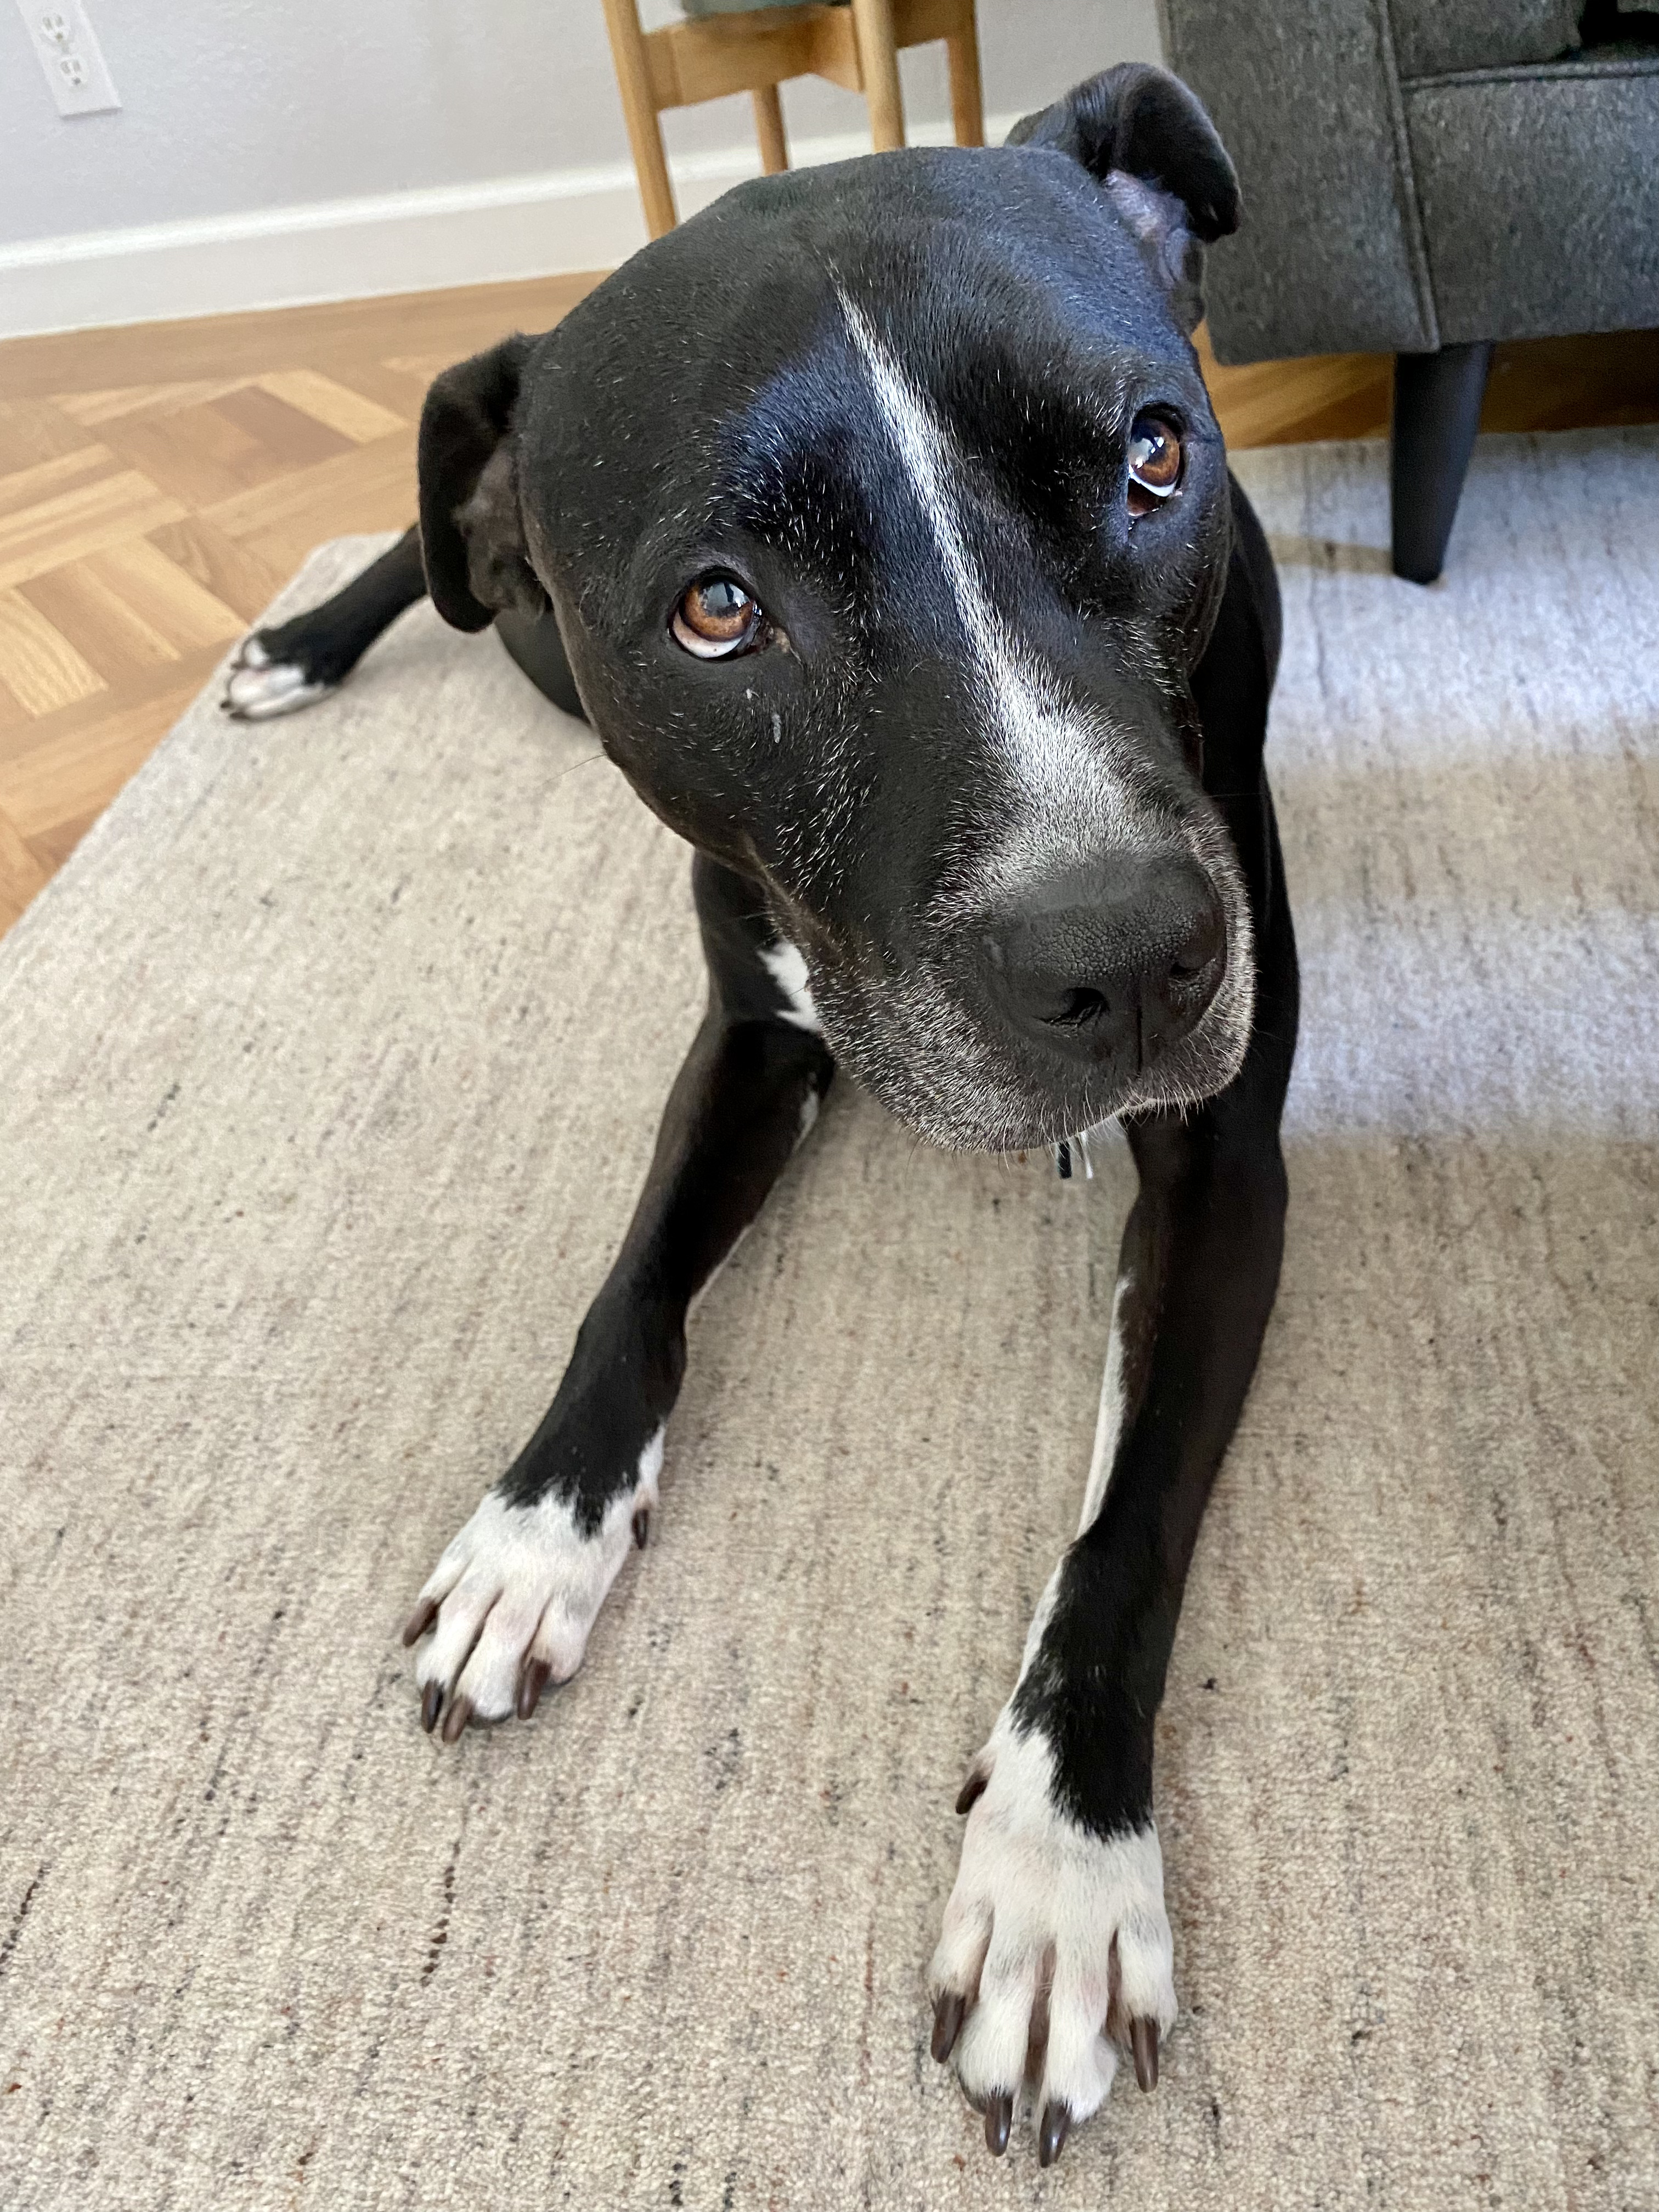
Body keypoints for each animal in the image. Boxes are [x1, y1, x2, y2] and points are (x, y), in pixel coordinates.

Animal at [223, 64, 1298, 2168]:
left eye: (1153, 460)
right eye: (720, 612)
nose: (1126, 959)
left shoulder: (1229, 1156)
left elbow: (1126, 1523)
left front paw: (1059, 1872)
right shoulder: (748, 1037)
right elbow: (629, 1290)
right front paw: (535, 1532)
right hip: (518, 618)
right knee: (420, 552)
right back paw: (302, 640)